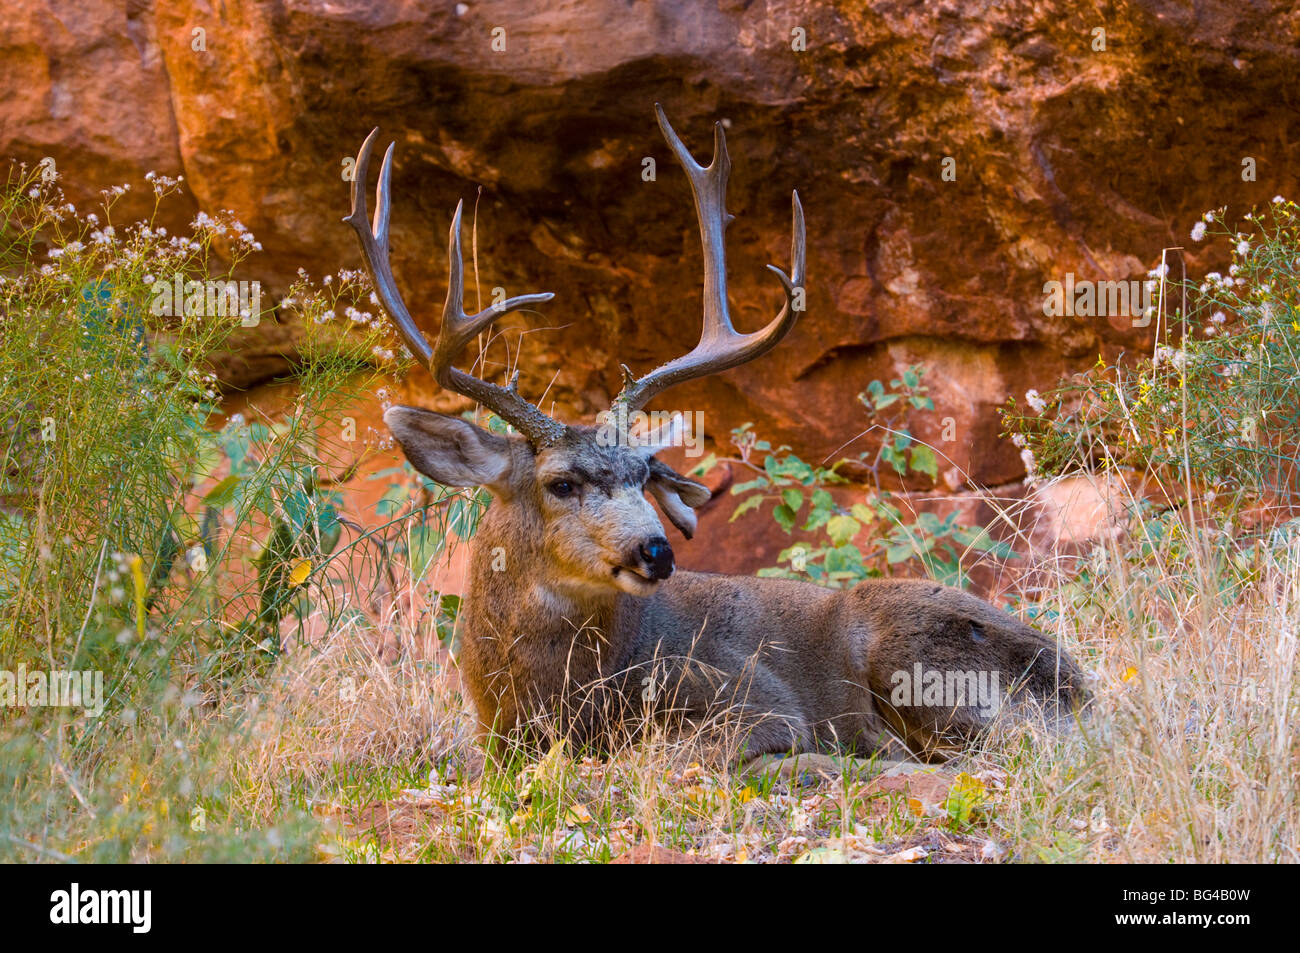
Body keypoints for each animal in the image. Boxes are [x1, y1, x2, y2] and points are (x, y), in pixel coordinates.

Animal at [343, 106, 1088, 766]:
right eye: (560, 482)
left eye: (645, 476)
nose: (655, 551)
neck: (554, 699)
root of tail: (1081, 689)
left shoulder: (753, 693)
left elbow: (684, 754)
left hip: (912, 650)